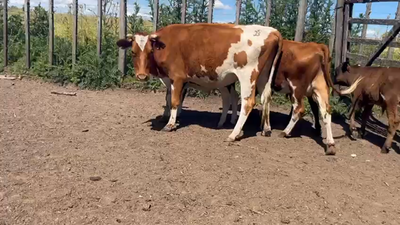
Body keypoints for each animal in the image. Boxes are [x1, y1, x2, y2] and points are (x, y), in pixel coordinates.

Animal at [117, 23, 282, 142]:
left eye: (150, 51)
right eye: (133, 52)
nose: (141, 76)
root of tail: (272, 31)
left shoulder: (177, 77)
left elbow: (175, 101)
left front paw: (170, 124)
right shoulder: (171, 80)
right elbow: (169, 99)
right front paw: (167, 116)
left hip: (248, 76)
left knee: (248, 102)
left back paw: (234, 134)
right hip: (263, 77)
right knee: (265, 98)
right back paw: (266, 129)